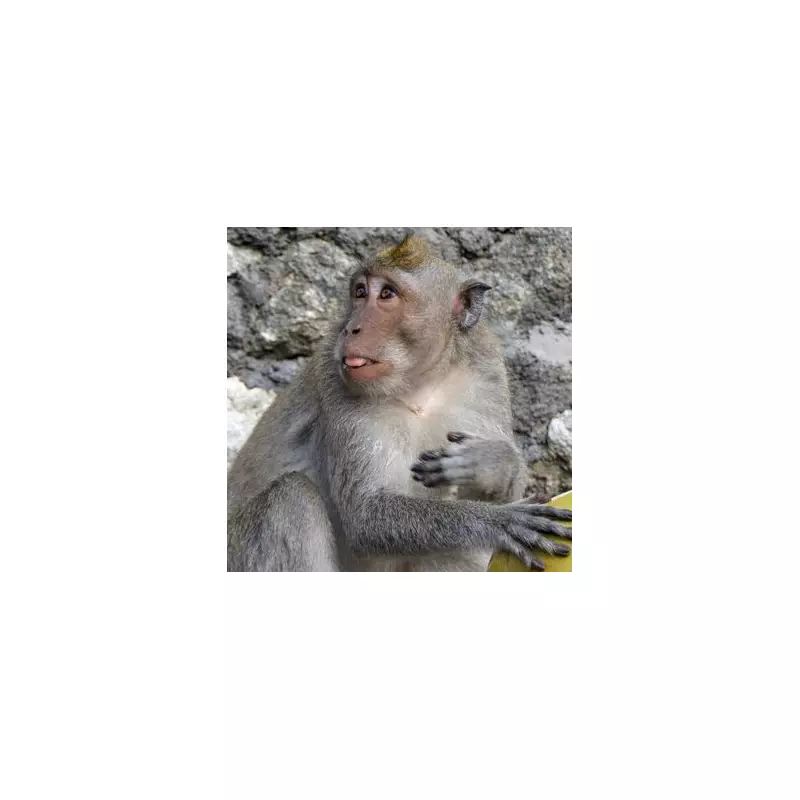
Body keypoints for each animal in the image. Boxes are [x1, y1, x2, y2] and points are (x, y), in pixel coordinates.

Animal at [227, 236, 572, 572]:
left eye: (387, 294)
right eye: (360, 292)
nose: (351, 328)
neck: (419, 384)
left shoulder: (487, 371)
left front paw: (491, 462)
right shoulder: (335, 378)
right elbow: (366, 515)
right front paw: (497, 521)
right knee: (290, 497)